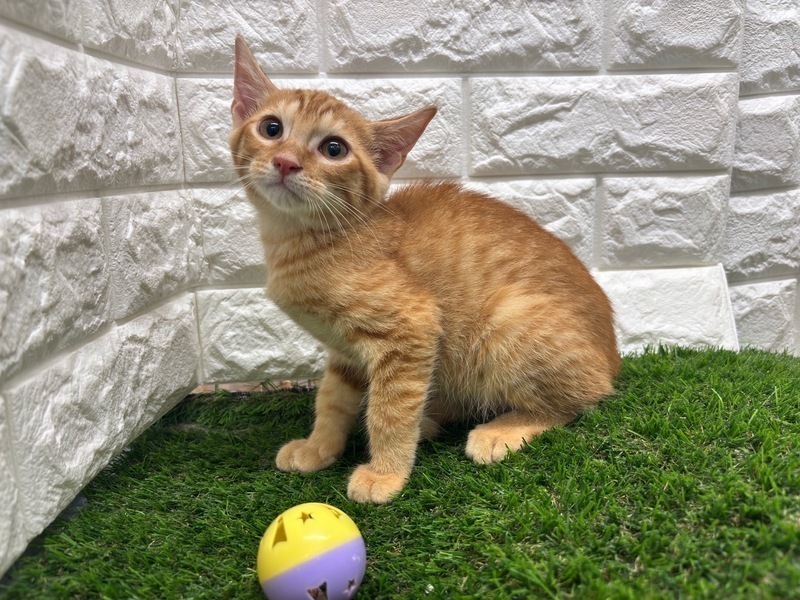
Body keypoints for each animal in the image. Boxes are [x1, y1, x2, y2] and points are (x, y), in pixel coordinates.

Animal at [229, 36, 621, 504]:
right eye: (271, 128)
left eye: (333, 149)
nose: (287, 162)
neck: (307, 238)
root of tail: (612, 358)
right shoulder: (344, 352)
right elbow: (332, 399)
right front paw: (319, 446)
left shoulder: (412, 327)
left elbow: (390, 409)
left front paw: (386, 473)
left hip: (508, 322)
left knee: (582, 399)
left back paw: (502, 429)